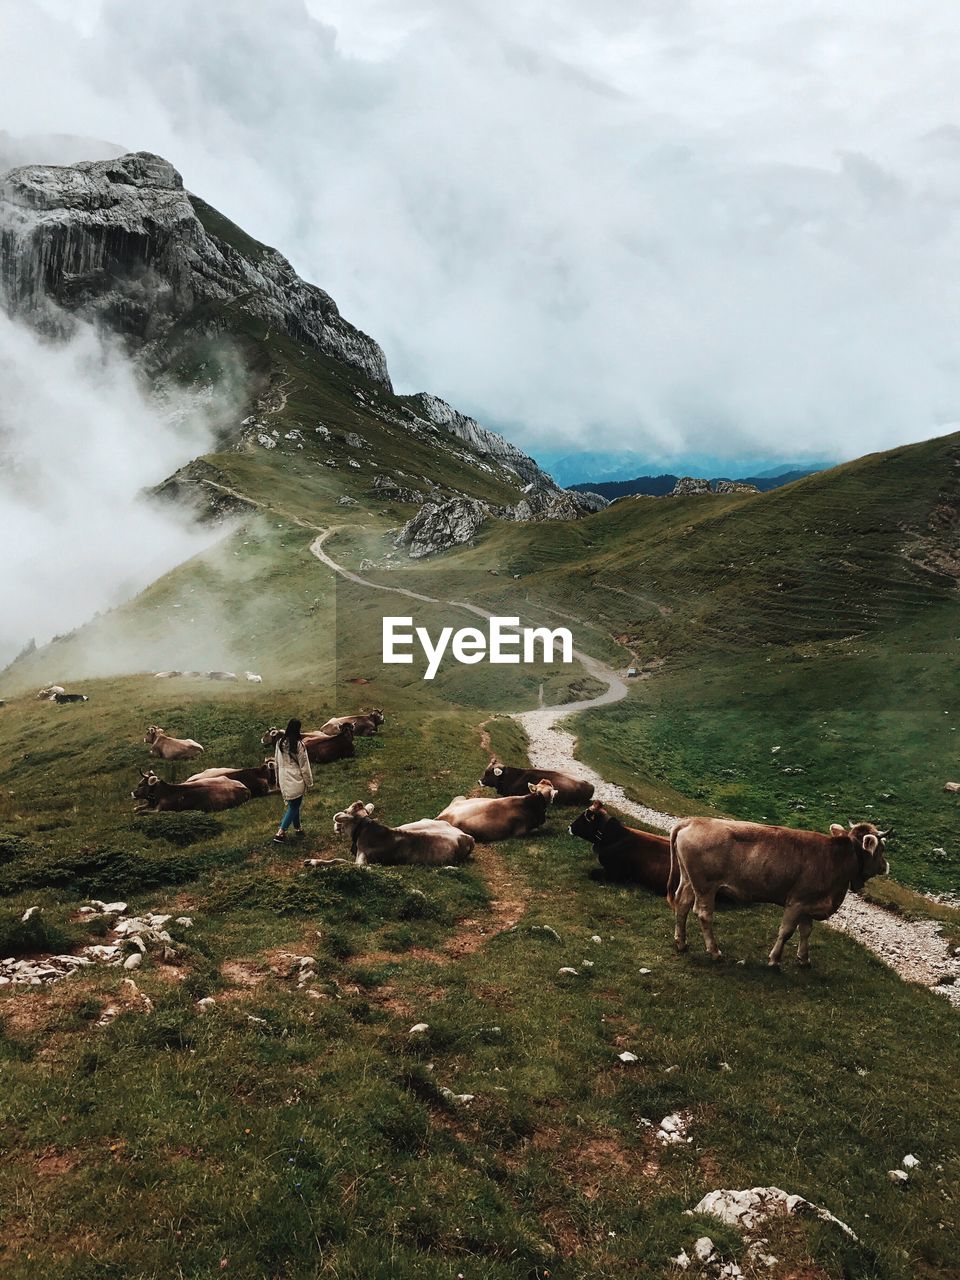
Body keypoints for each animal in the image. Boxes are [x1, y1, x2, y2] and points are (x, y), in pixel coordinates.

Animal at [670, 814, 896, 962]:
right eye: (882, 848)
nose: (886, 866)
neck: (836, 859)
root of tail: (692, 820)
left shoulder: (810, 904)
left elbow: (806, 931)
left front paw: (804, 959)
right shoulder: (797, 902)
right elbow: (786, 931)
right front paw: (775, 959)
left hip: (689, 880)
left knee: (682, 904)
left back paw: (681, 943)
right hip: (706, 886)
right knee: (703, 914)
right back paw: (715, 952)